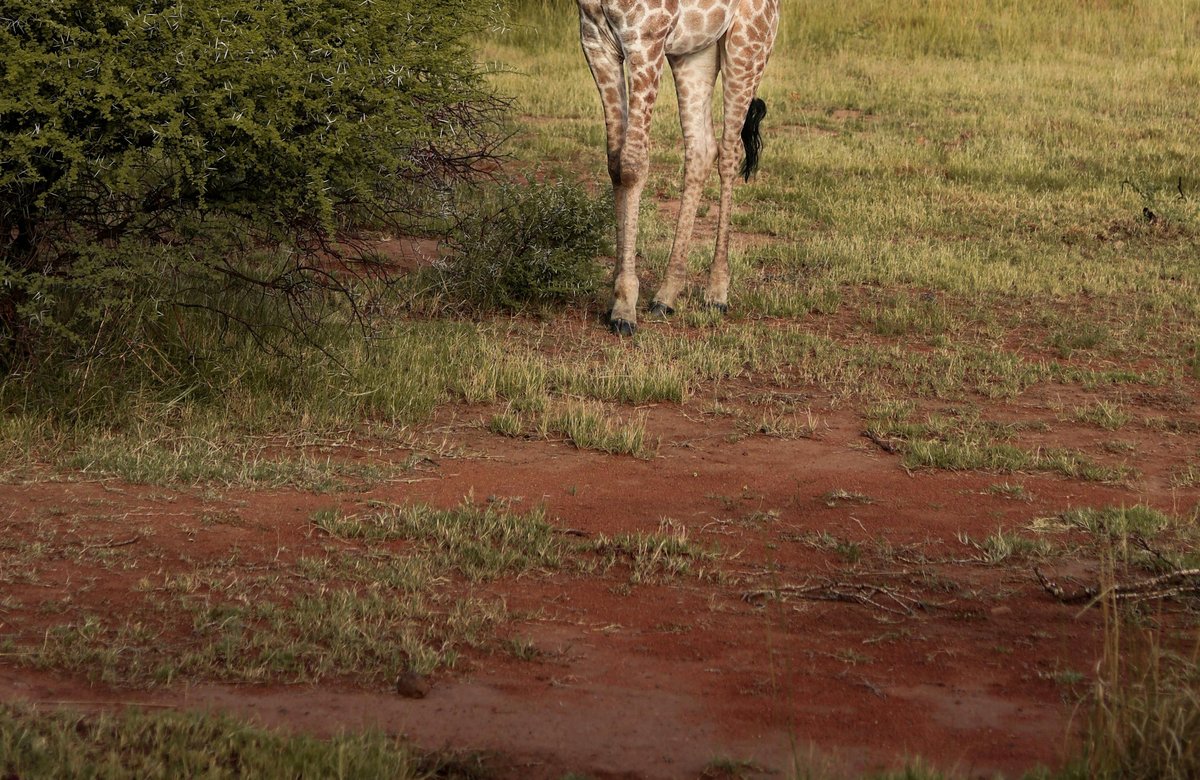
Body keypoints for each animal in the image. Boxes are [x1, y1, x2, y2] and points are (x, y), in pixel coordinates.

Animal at [577, 0, 780, 336]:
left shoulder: (646, 39)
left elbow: (632, 164)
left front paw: (624, 307)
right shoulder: (595, 42)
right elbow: (615, 162)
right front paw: (615, 299)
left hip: (747, 45)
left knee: (730, 153)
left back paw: (716, 293)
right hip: (695, 51)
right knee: (701, 149)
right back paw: (666, 296)